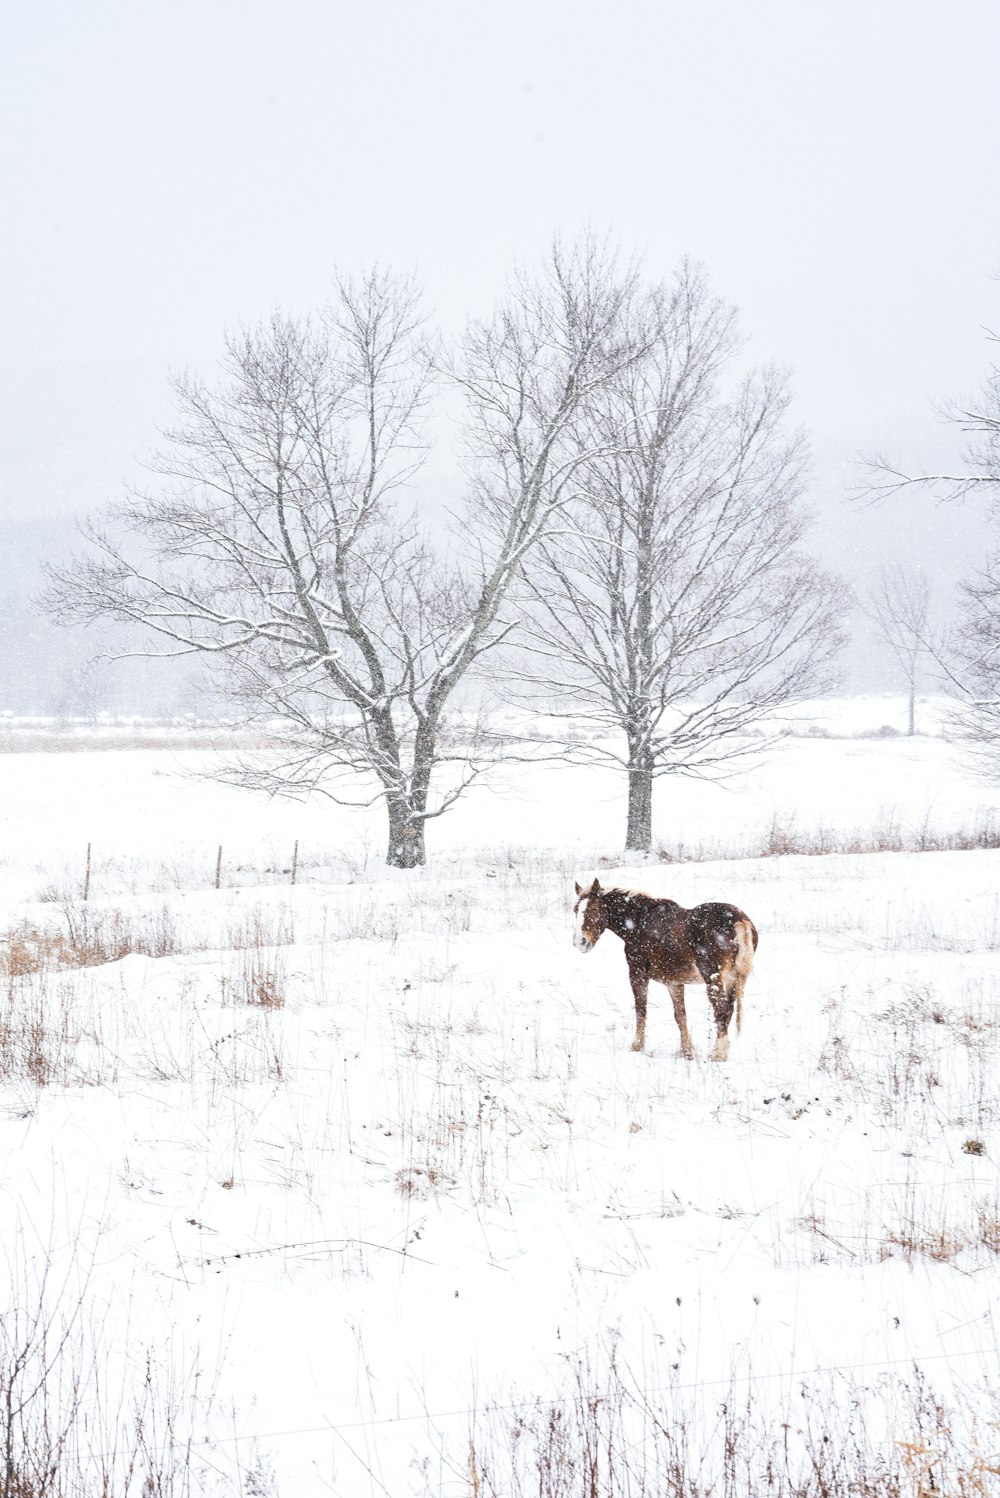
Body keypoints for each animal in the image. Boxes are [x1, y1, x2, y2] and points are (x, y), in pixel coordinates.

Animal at [568, 880, 757, 1060]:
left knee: (721, 1011)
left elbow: (641, 1010)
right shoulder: (674, 983)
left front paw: (637, 1046)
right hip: (731, 979)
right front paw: (686, 1051)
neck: (638, 922)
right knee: (728, 1011)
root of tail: (739, 921)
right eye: (575, 910)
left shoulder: (637, 974)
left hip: (714, 979)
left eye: (593, 908)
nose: (580, 942)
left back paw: (718, 1055)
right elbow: (680, 1016)